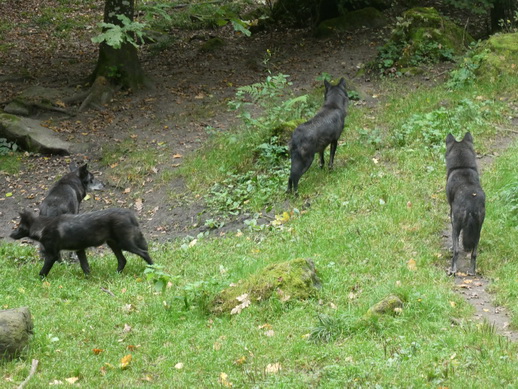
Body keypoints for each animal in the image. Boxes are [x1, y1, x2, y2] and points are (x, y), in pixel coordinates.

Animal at [10, 208, 153, 278]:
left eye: (19, 227)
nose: (10, 234)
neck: (43, 227)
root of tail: (129, 214)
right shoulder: (80, 250)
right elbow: (86, 268)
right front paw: (89, 280)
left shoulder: (52, 255)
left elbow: (42, 271)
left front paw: (38, 280)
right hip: (113, 245)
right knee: (123, 260)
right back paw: (115, 275)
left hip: (125, 244)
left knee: (144, 253)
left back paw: (154, 269)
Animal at [446, 132, 488, 274]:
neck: (462, 167)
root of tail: (471, 203)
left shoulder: (451, 214)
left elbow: (456, 244)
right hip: (478, 230)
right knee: (474, 254)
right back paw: (472, 272)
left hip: (457, 225)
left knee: (456, 251)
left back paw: (453, 271)